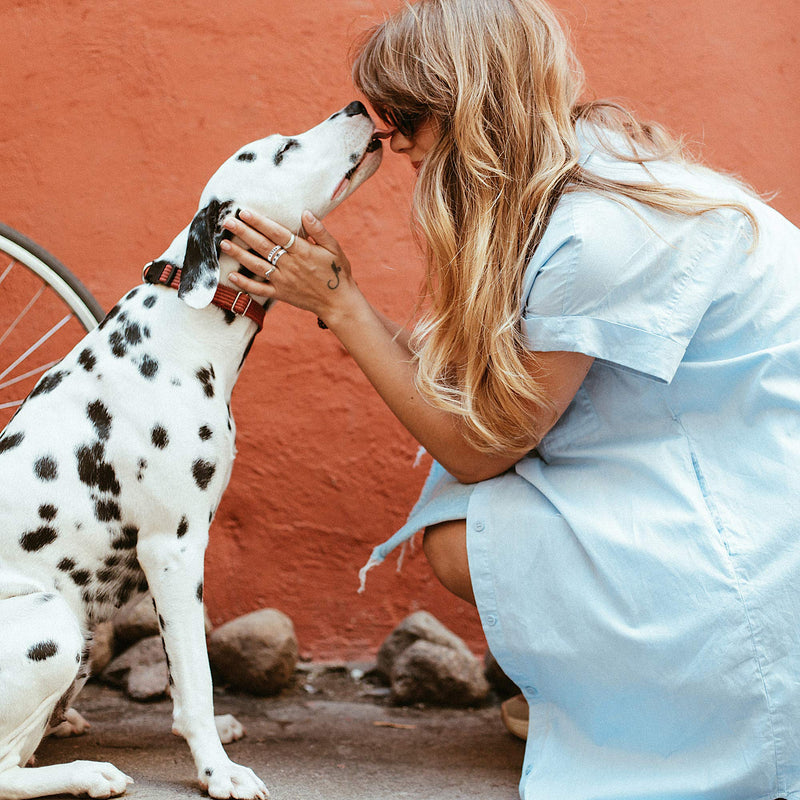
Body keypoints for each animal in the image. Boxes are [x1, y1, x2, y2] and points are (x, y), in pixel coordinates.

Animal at [0, 101, 384, 800]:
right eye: (283, 149)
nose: (356, 106)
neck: (181, 326)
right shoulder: (173, 550)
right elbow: (198, 678)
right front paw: (218, 771)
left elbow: (188, 673)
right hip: (53, 622)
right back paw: (87, 772)